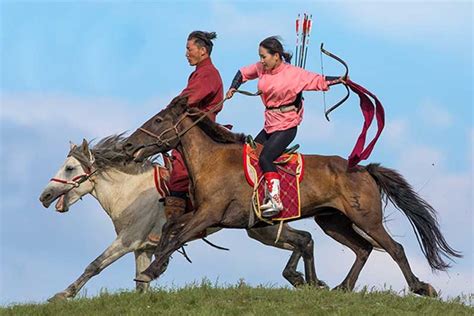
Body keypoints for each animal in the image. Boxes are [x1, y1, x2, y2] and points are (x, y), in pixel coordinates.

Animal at [39, 136, 326, 302]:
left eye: (70, 168)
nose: (45, 196)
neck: (129, 191)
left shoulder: (127, 241)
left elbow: (95, 265)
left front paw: (63, 294)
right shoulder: (142, 248)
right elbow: (140, 282)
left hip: (262, 230)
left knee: (302, 240)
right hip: (261, 231)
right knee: (302, 239)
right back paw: (304, 279)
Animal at [122, 96, 460, 296]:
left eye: (158, 121)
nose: (128, 145)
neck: (211, 160)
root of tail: (363, 168)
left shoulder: (211, 214)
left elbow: (178, 235)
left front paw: (149, 272)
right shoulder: (204, 214)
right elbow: (170, 228)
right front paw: (156, 265)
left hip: (366, 218)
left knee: (394, 248)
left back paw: (420, 287)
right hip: (333, 221)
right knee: (363, 249)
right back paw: (341, 287)